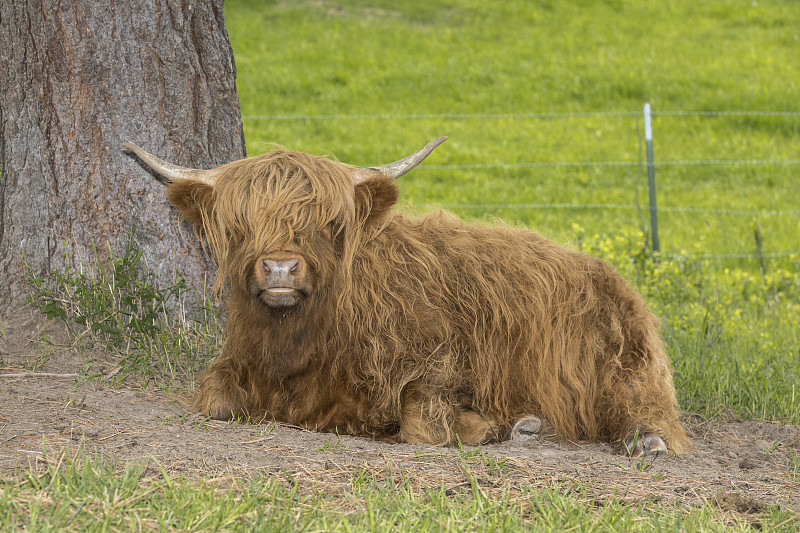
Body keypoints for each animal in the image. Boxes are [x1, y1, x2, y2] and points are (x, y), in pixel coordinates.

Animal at [126, 138, 692, 458]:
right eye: (241, 222)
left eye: (328, 223)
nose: (281, 267)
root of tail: (608, 273)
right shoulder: (238, 362)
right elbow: (214, 399)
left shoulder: (445, 362)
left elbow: (420, 420)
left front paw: (485, 426)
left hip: (625, 361)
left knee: (646, 405)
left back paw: (642, 439)